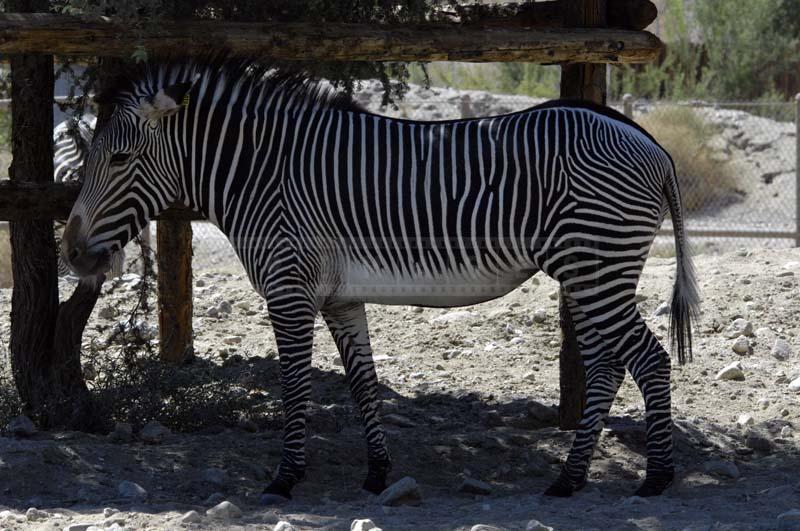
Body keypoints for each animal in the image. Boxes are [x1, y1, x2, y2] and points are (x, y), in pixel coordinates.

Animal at [62, 58, 700, 502]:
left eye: (117, 161)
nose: (71, 253)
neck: (262, 174)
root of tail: (648, 142)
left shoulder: (289, 289)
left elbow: (296, 387)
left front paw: (284, 479)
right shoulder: (340, 298)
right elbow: (363, 384)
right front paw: (377, 474)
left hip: (596, 263)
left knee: (647, 359)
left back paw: (657, 478)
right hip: (588, 270)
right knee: (607, 365)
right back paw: (569, 480)